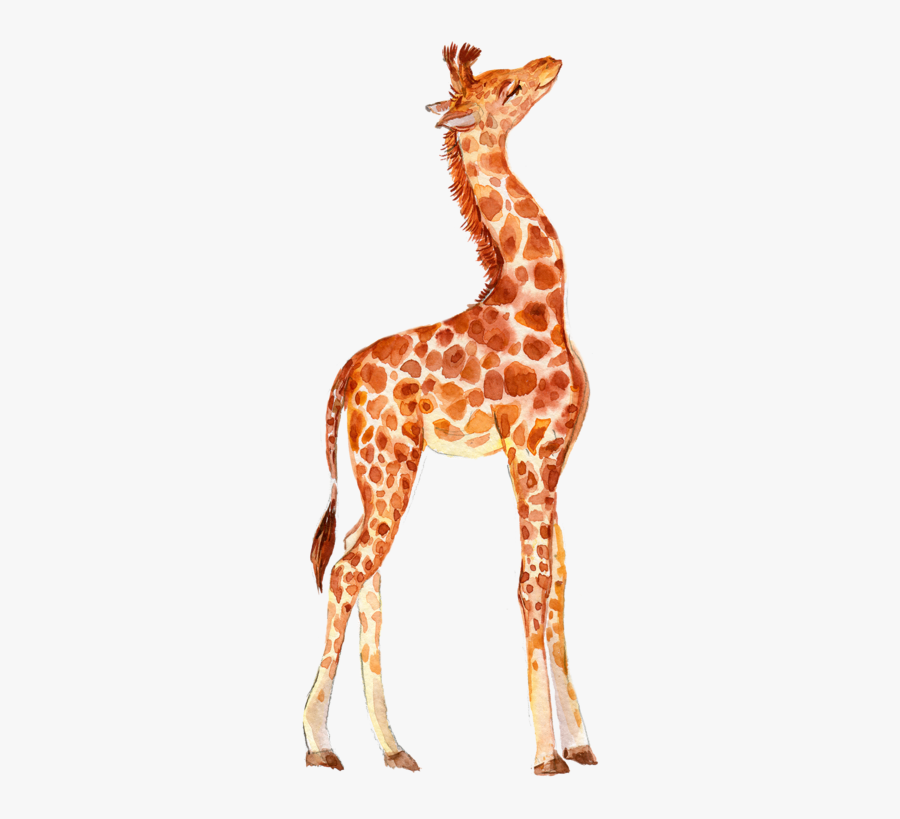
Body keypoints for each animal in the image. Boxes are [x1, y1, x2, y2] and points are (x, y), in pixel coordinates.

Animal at [303, 44, 596, 776]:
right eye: (510, 87)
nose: (552, 60)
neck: (540, 299)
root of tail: (344, 375)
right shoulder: (529, 449)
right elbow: (530, 583)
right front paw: (546, 754)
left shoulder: (557, 456)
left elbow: (559, 585)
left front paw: (581, 742)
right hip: (389, 464)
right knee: (349, 570)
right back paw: (319, 744)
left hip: (379, 469)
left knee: (362, 567)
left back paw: (394, 748)